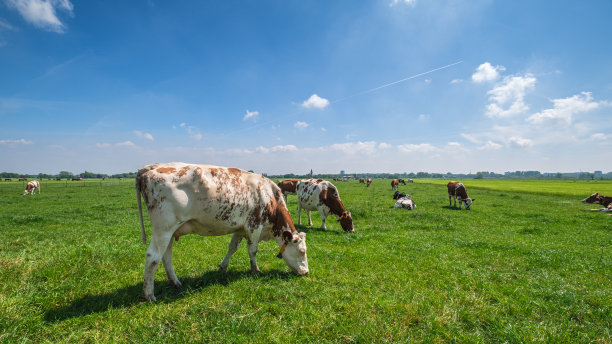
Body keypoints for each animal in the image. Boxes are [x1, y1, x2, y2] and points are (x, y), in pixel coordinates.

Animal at [139, 163, 310, 300]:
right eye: (302, 251)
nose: (307, 272)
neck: (269, 197)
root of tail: (151, 168)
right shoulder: (254, 226)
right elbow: (253, 250)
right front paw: (255, 269)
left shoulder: (240, 228)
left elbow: (232, 248)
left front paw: (222, 267)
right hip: (164, 229)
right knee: (152, 257)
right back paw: (149, 295)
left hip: (169, 232)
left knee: (166, 257)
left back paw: (175, 282)